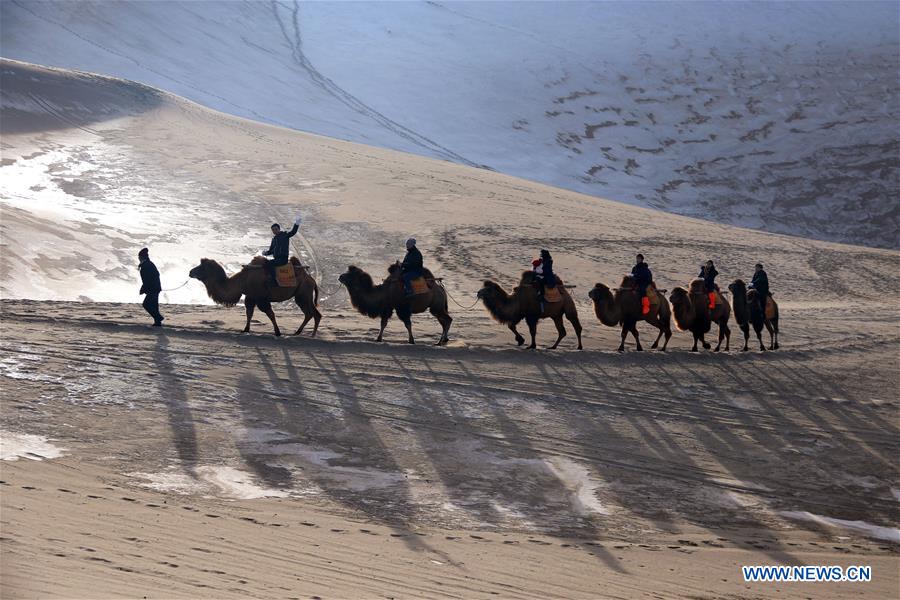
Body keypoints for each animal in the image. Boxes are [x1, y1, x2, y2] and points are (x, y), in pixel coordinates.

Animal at [188, 254, 322, 336]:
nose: (190, 272)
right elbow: (249, 313)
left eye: (201, 267)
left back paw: (312, 335)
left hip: (303, 293)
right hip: (301, 295)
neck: (242, 281)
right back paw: (298, 332)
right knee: (309, 313)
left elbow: (270, 314)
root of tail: (311, 279)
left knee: (314, 313)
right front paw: (245, 330)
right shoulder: (251, 296)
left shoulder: (261, 298)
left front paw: (277, 332)